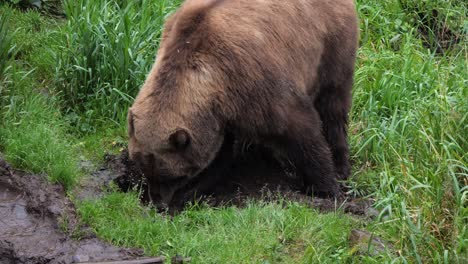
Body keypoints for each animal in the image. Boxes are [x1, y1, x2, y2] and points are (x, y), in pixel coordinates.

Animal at [127, 0, 358, 204]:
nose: (157, 202)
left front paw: (326, 189)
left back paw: (340, 164)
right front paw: (195, 190)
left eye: (174, 175)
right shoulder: (220, 114)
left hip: (331, 45)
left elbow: (302, 130)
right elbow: (216, 152)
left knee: (333, 106)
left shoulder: (254, 85)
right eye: (145, 170)